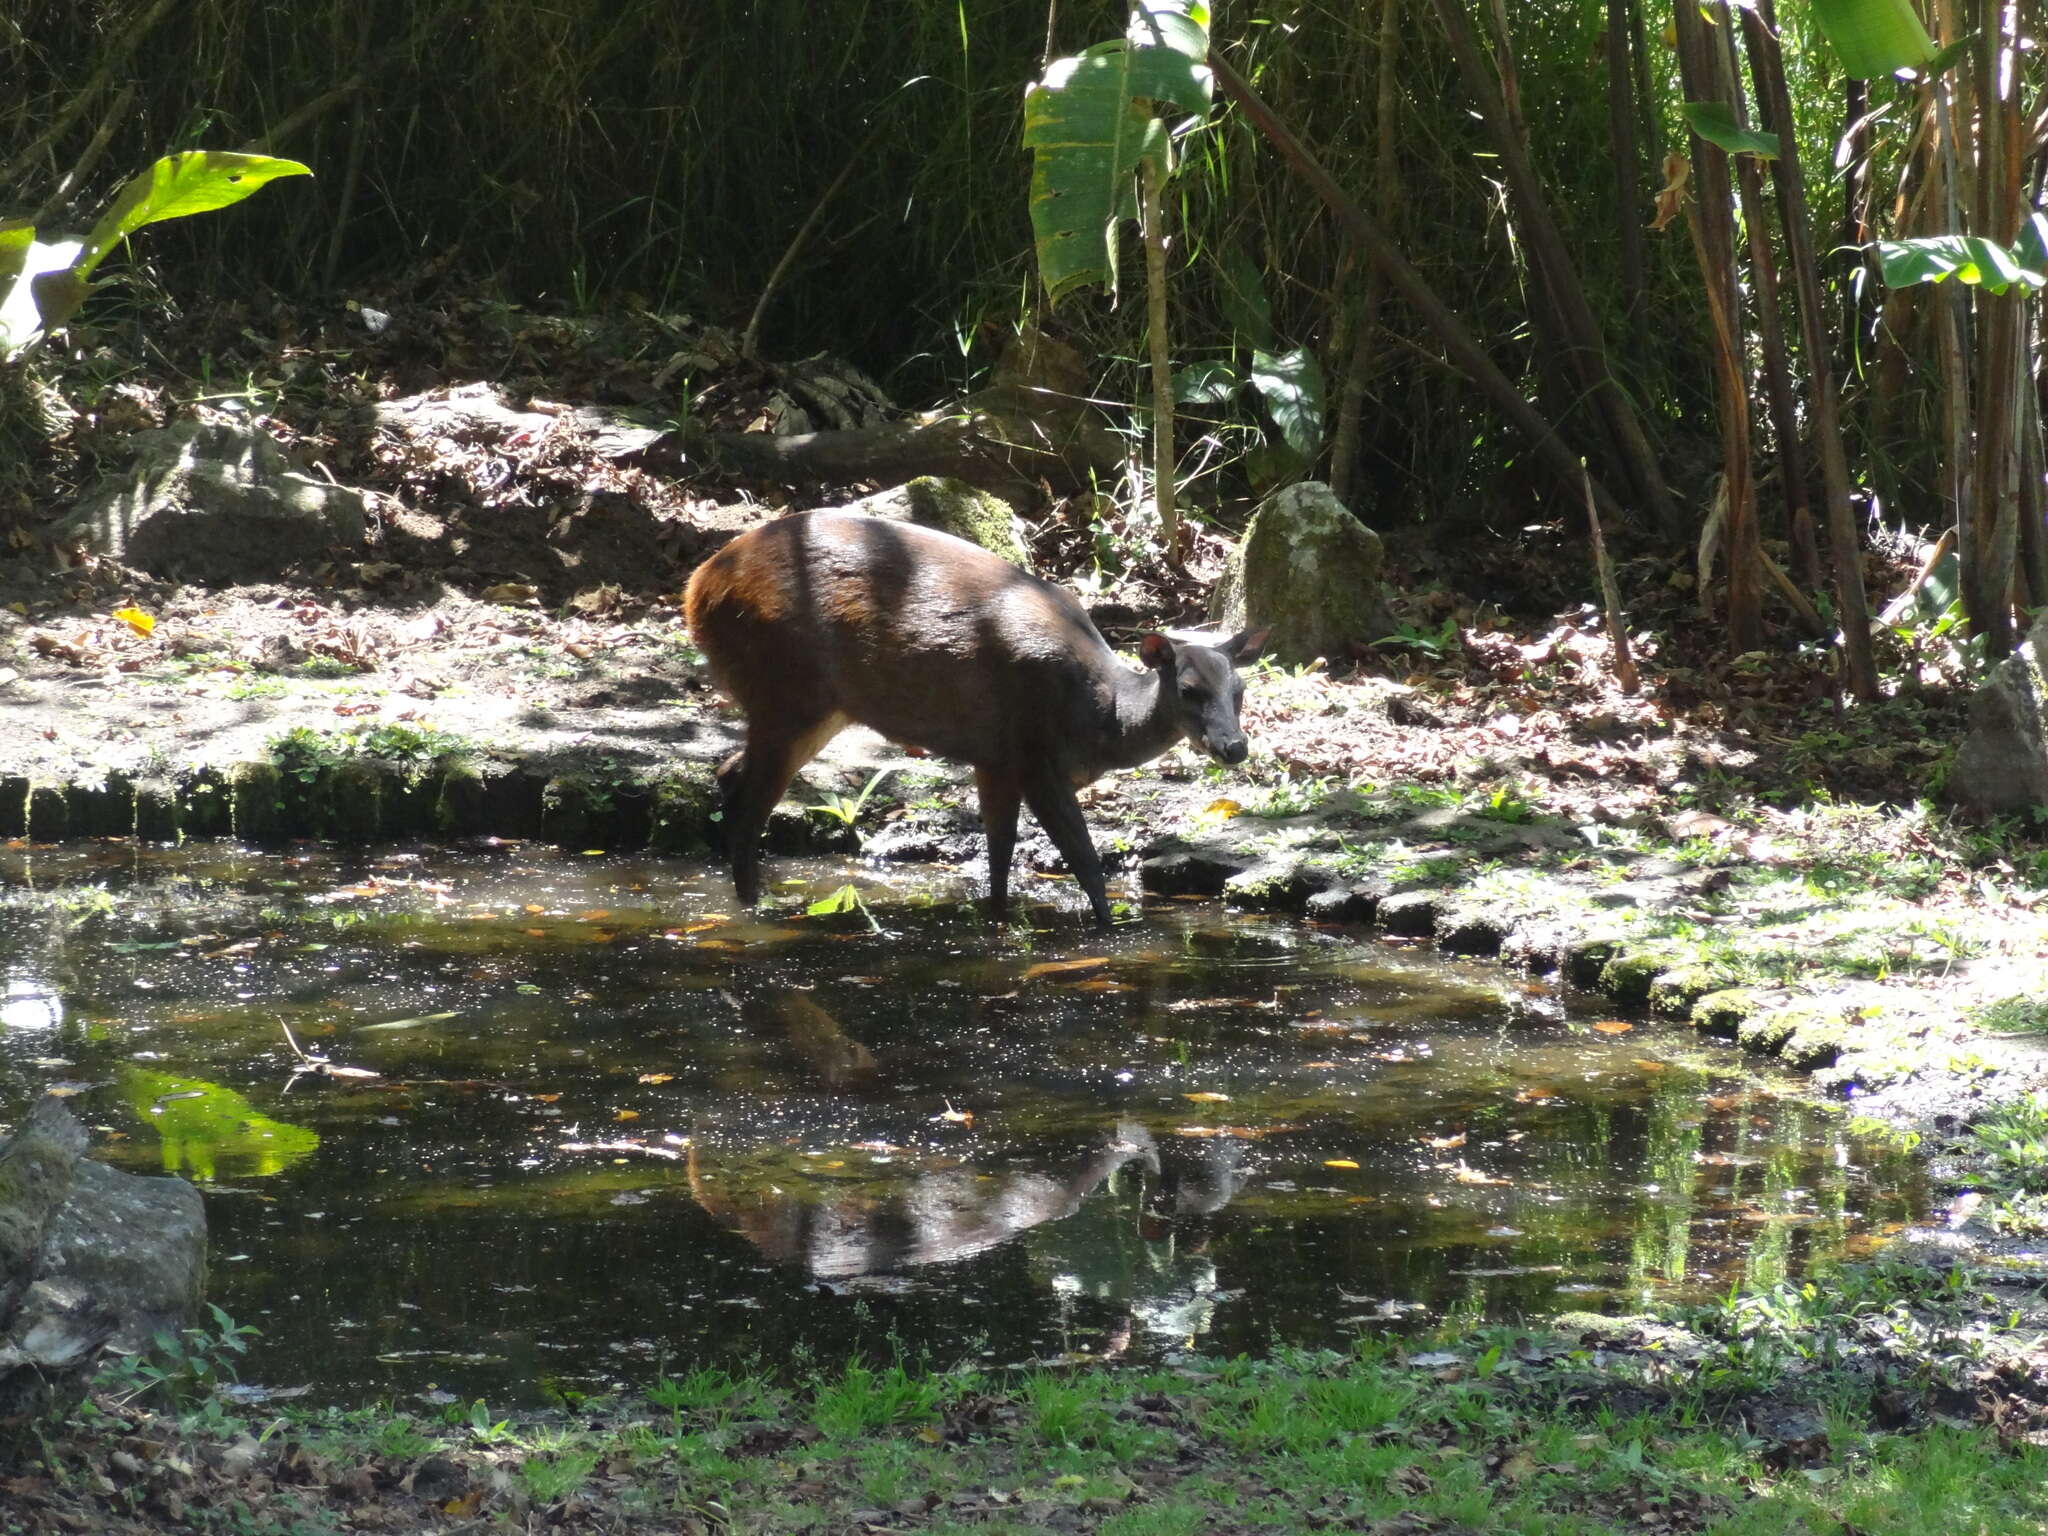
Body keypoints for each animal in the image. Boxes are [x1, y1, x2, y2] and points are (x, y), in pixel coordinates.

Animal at [688, 514, 1261, 925]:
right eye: (1188, 690)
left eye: (1240, 690)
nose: (1235, 747)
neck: (1100, 720)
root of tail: (697, 589)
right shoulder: (1034, 756)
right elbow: (1085, 862)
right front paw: (1112, 930)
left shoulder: (995, 759)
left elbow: (1000, 856)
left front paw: (998, 919)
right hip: (786, 688)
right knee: (749, 808)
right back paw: (753, 911)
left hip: (814, 707)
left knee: (729, 775)